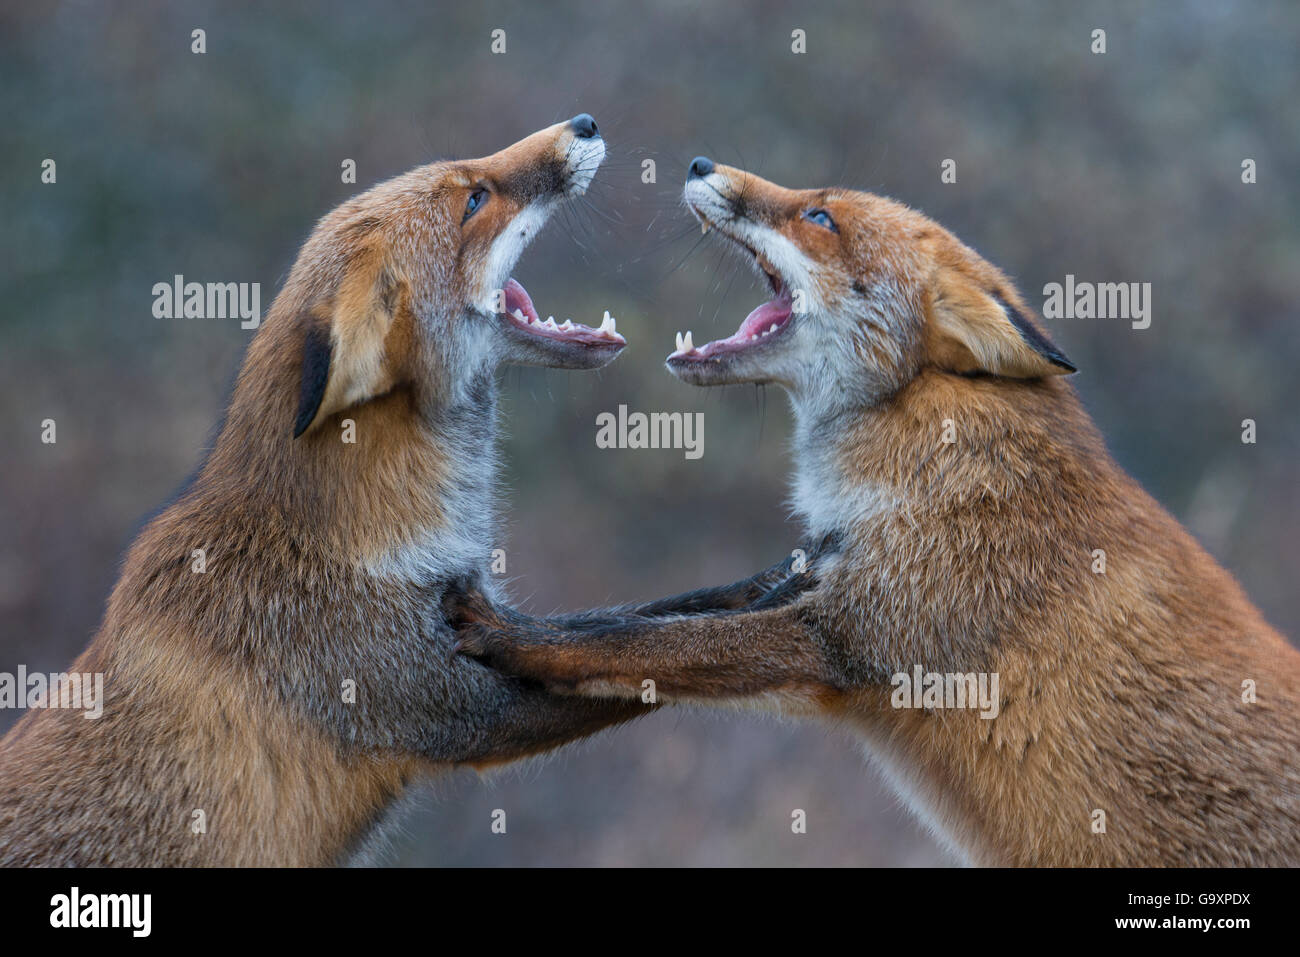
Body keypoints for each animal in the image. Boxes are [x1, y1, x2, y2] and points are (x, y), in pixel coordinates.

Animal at [452, 158, 1300, 868]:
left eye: (820, 217)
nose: (697, 164)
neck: (930, 461)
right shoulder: (817, 576)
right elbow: (646, 614)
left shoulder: (848, 637)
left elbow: (641, 643)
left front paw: (510, 635)